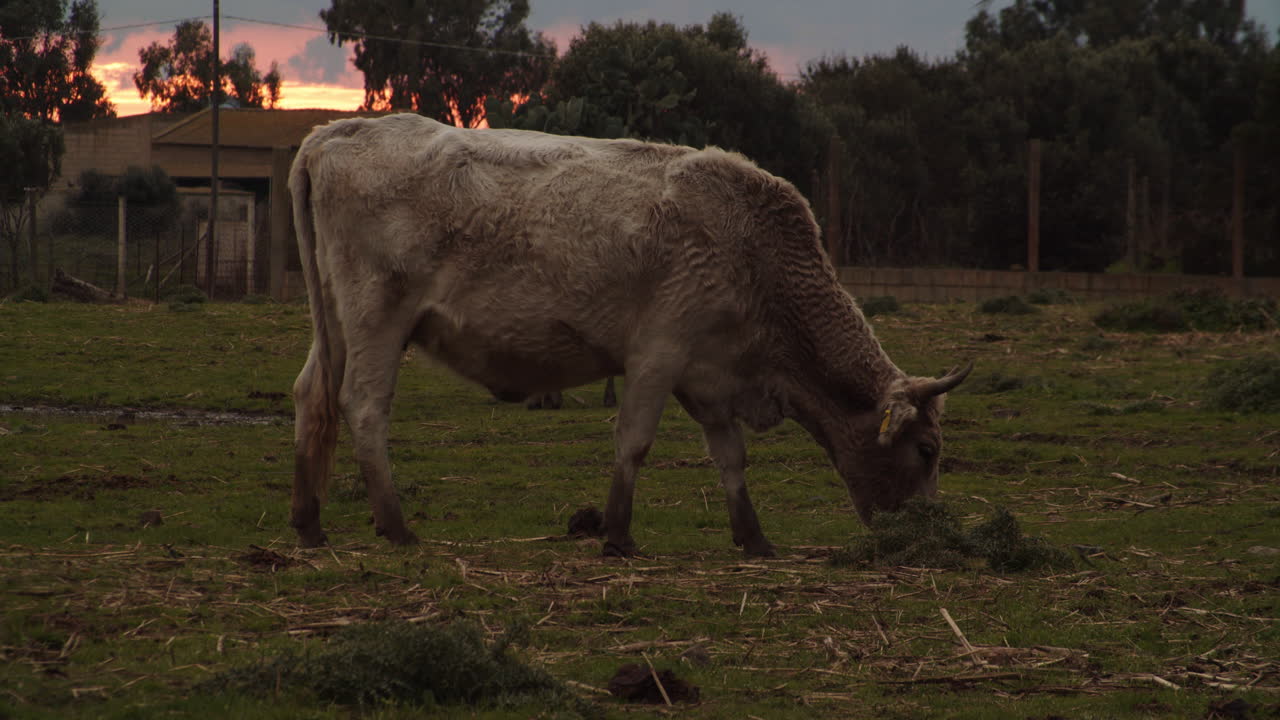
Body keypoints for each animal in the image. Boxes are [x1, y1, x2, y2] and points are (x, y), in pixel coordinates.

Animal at [288, 113, 970, 557]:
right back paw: (395, 525)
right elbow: (634, 441)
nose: (929, 533)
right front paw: (616, 535)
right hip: (378, 318)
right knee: (364, 407)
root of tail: (332, 134)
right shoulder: (658, 354)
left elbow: (730, 456)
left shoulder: (708, 378)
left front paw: (753, 537)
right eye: (927, 450)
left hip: (335, 327)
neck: (752, 249)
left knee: (310, 396)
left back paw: (309, 522)